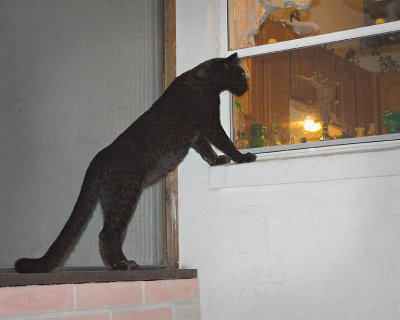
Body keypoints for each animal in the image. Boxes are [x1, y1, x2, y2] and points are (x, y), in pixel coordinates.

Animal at [14, 52, 256, 272]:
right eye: (241, 73)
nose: (247, 84)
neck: (206, 79)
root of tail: (98, 159)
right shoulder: (209, 122)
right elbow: (224, 141)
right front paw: (243, 157)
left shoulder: (197, 136)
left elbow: (206, 150)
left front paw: (218, 161)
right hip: (125, 196)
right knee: (107, 234)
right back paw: (120, 265)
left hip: (113, 202)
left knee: (114, 234)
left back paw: (125, 263)